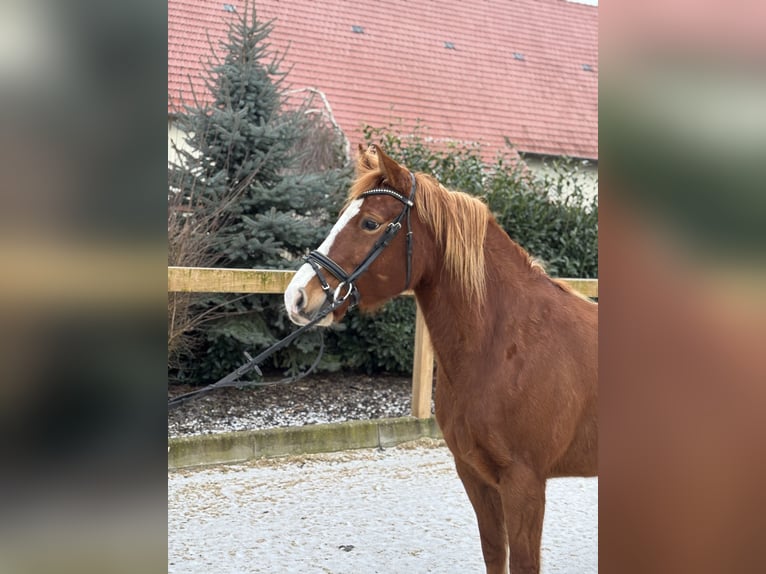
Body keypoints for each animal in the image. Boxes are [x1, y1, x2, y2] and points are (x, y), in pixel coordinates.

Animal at [284, 146, 600, 572]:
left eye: (370, 223)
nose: (297, 297)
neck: (504, 346)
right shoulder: (475, 476)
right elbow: (494, 553)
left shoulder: (525, 483)